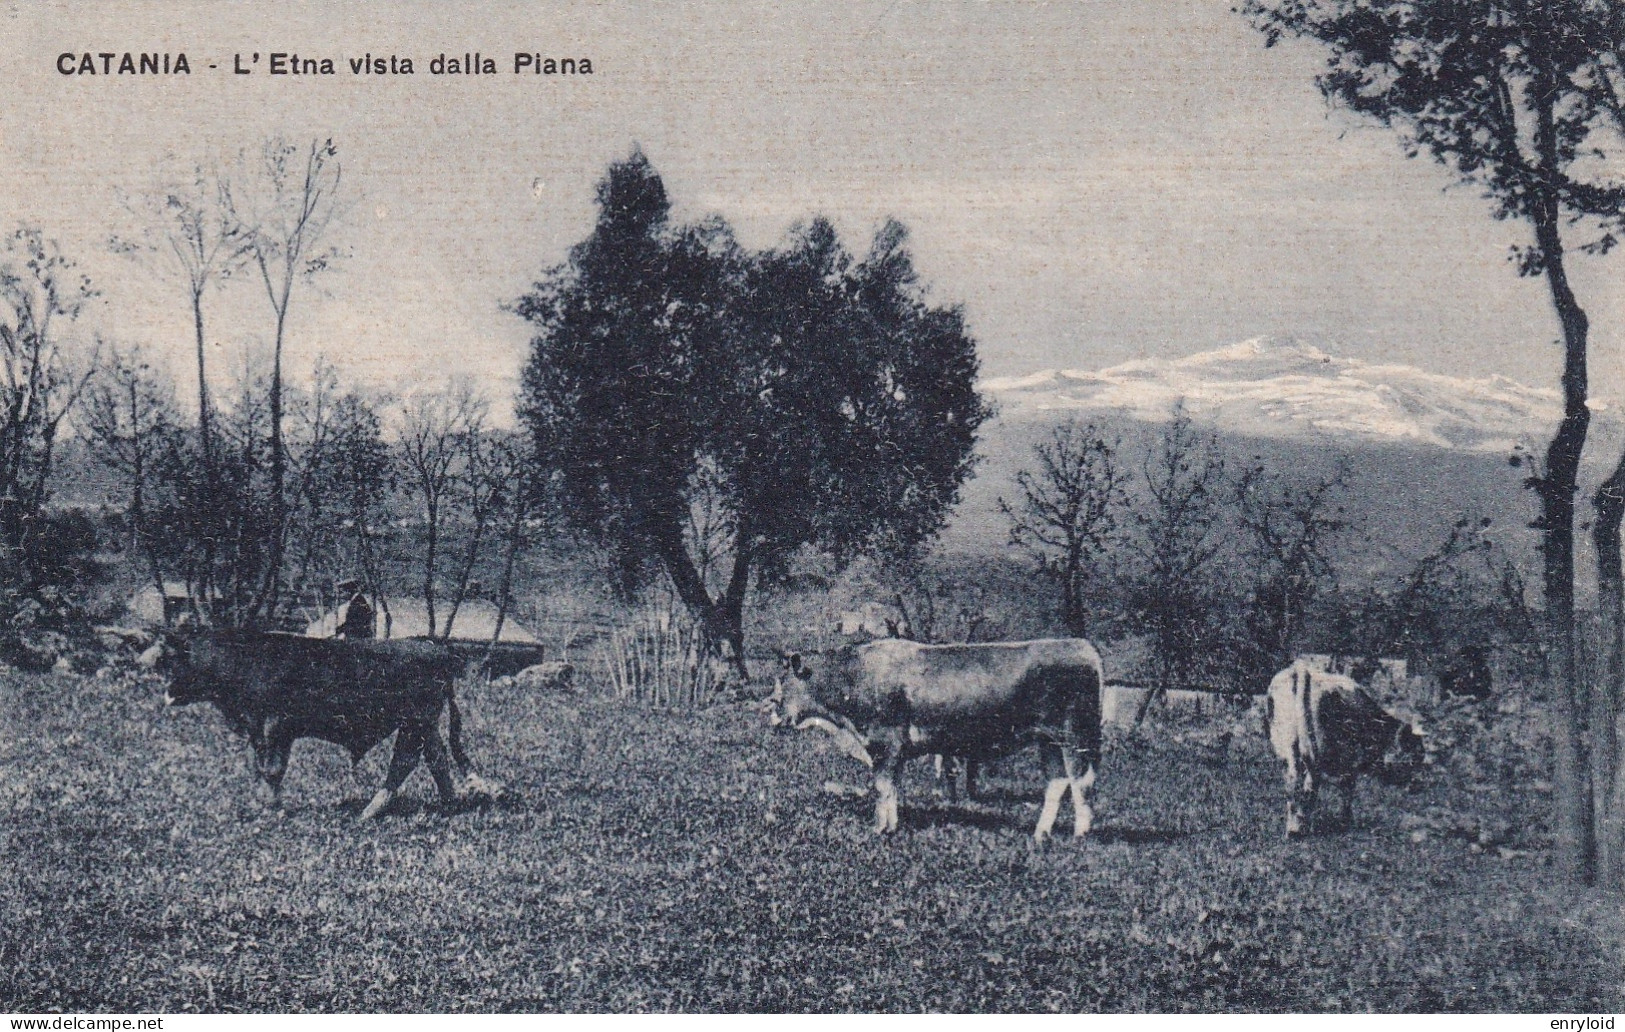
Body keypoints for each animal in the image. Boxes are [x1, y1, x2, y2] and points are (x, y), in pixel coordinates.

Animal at [150, 633, 500, 819]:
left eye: (174, 658)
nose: (166, 691)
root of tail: (432, 644)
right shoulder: (257, 730)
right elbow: (258, 767)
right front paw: (261, 804)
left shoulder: (274, 726)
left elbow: (272, 769)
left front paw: (273, 808)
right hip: (422, 724)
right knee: (435, 759)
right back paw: (447, 804)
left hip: (416, 720)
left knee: (406, 762)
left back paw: (368, 812)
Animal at [763, 637, 1105, 838]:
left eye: (783, 680)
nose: (770, 707)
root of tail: (1081, 646)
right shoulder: (895, 749)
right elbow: (892, 787)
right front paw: (891, 823)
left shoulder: (885, 742)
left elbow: (882, 786)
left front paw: (881, 827)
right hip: (1049, 740)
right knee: (1057, 783)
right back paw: (1040, 833)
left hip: (1075, 735)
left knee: (1081, 781)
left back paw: (1080, 833)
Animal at [1267, 663, 1423, 838]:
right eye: (1414, 756)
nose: (1417, 785)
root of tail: (1301, 669)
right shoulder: (1351, 759)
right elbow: (1348, 787)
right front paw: (1346, 821)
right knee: (1310, 784)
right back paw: (1302, 828)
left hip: (1286, 745)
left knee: (1293, 782)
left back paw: (1292, 829)